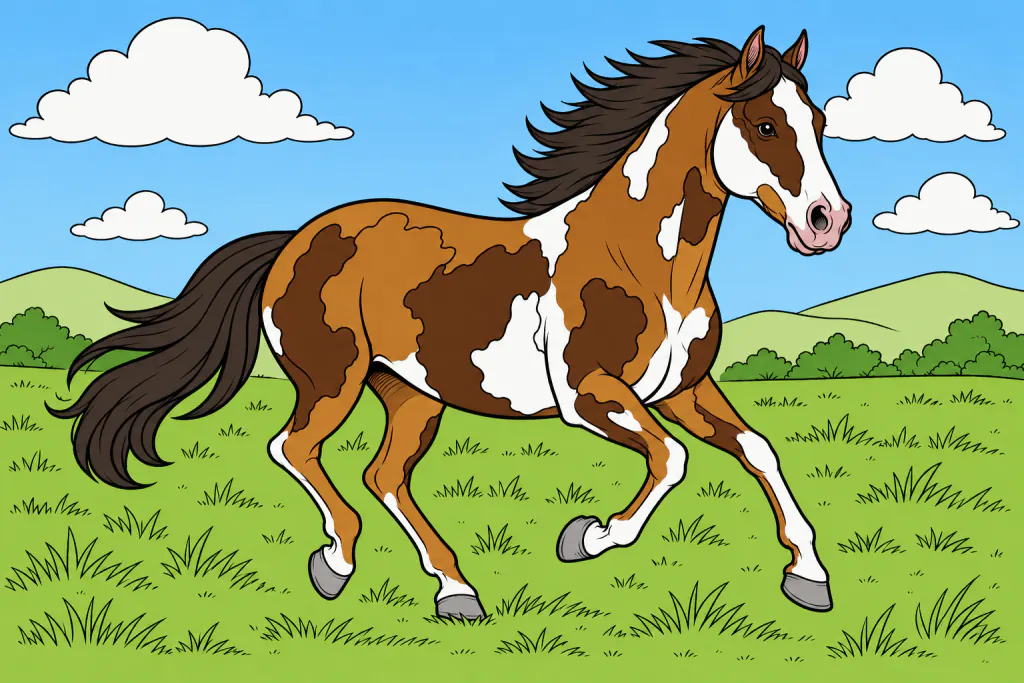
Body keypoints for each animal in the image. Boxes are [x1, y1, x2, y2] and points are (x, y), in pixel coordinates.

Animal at [51, 26, 851, 621]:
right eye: (766, 124)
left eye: (819, 122)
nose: (828, 221)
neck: (644, 263)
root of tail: (294, 239)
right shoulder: (591, 395)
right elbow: (671, 460)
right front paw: (586, 537)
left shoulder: (684, 390)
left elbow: (758, 451)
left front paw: (809, 578)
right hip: (333, 379)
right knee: (295, 448)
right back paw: (335, 562)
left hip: (412, 393)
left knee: (382, 475)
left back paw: (456, 592)